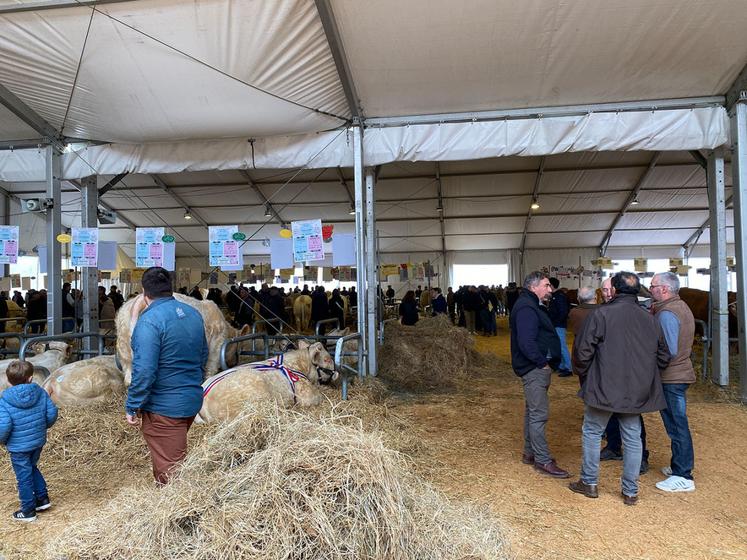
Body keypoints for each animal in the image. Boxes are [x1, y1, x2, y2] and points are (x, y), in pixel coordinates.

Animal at [117, 294, 251, 384]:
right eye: (239, 348)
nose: (234, 363)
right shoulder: (215, 348)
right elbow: (210, 369)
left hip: (125, 351)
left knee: (128, 376)